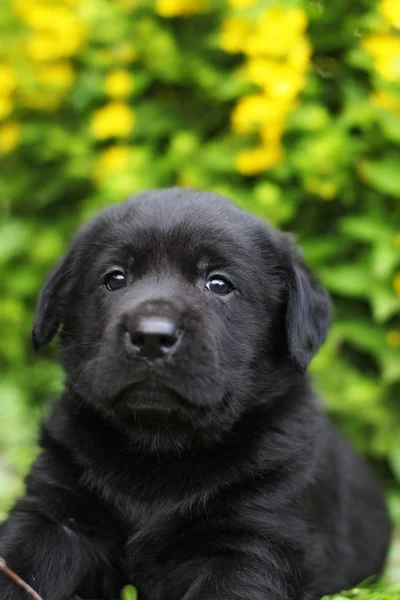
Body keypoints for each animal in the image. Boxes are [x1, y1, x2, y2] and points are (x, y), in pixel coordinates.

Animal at [0, 189, 390, 600]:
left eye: (218, 284)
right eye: (115, 278)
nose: (151, 337)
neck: (159, 450)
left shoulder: (255, 539)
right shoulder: (53, 511)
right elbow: (19, 560)